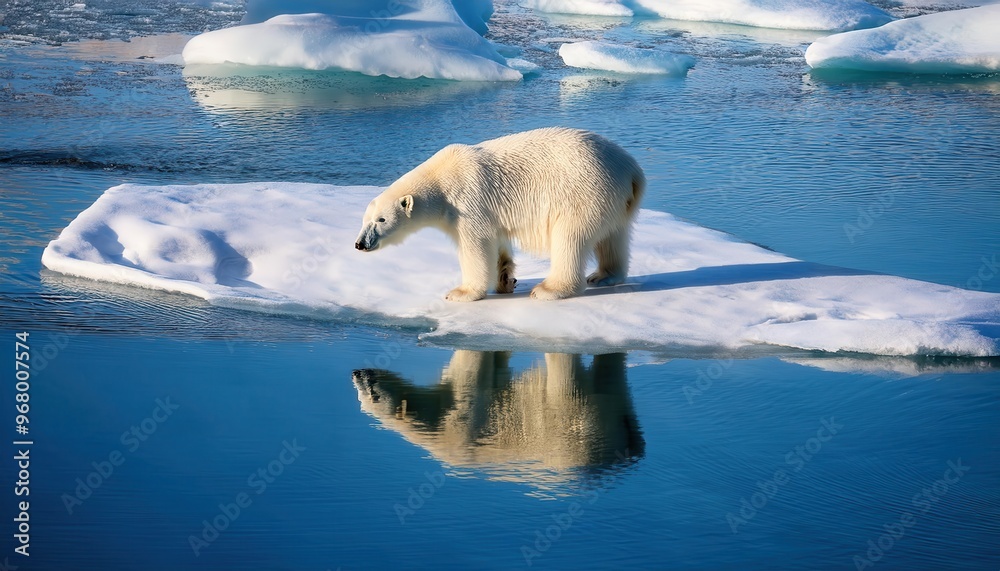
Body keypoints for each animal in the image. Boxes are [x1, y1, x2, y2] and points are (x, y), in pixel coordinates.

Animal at [354, 127, 646, 301]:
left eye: (381, 220)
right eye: (365, 220)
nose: (360, 244)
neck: (441, 178)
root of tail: (631, 170)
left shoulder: (468, 204)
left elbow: (475, 246)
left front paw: (460, 292)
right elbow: (498, 241)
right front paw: (505, 280)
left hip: (584, 193)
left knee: (569, 238)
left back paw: (549, 289)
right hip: (614, 200)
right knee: (613, 236)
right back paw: (604, 275)